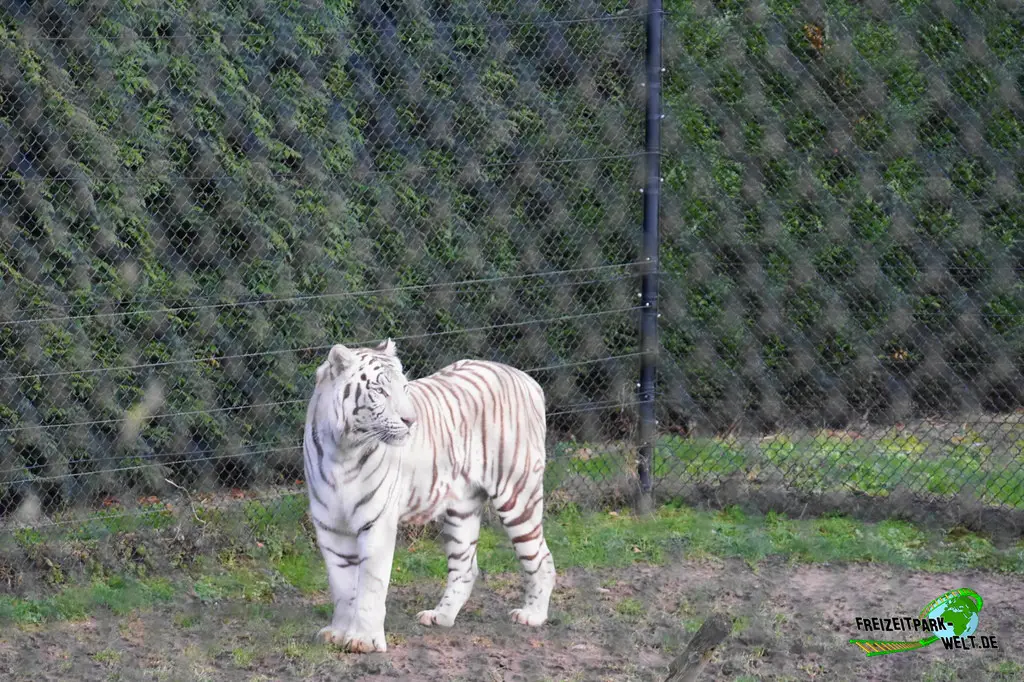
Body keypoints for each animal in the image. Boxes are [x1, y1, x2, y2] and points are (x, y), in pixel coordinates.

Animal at [302, 338, 556, 653]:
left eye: (404, 387)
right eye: (380, 391)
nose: (411, 420)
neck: (343, 451)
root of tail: (526, 378)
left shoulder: (377, 523)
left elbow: (370, 586)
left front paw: (364, 640)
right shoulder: (329, 526)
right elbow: (341, 585)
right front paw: (338, 632)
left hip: (518, 496)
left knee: (542, 558)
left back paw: (532, 615)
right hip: (462, 510)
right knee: (466, 567)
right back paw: (440, 616)